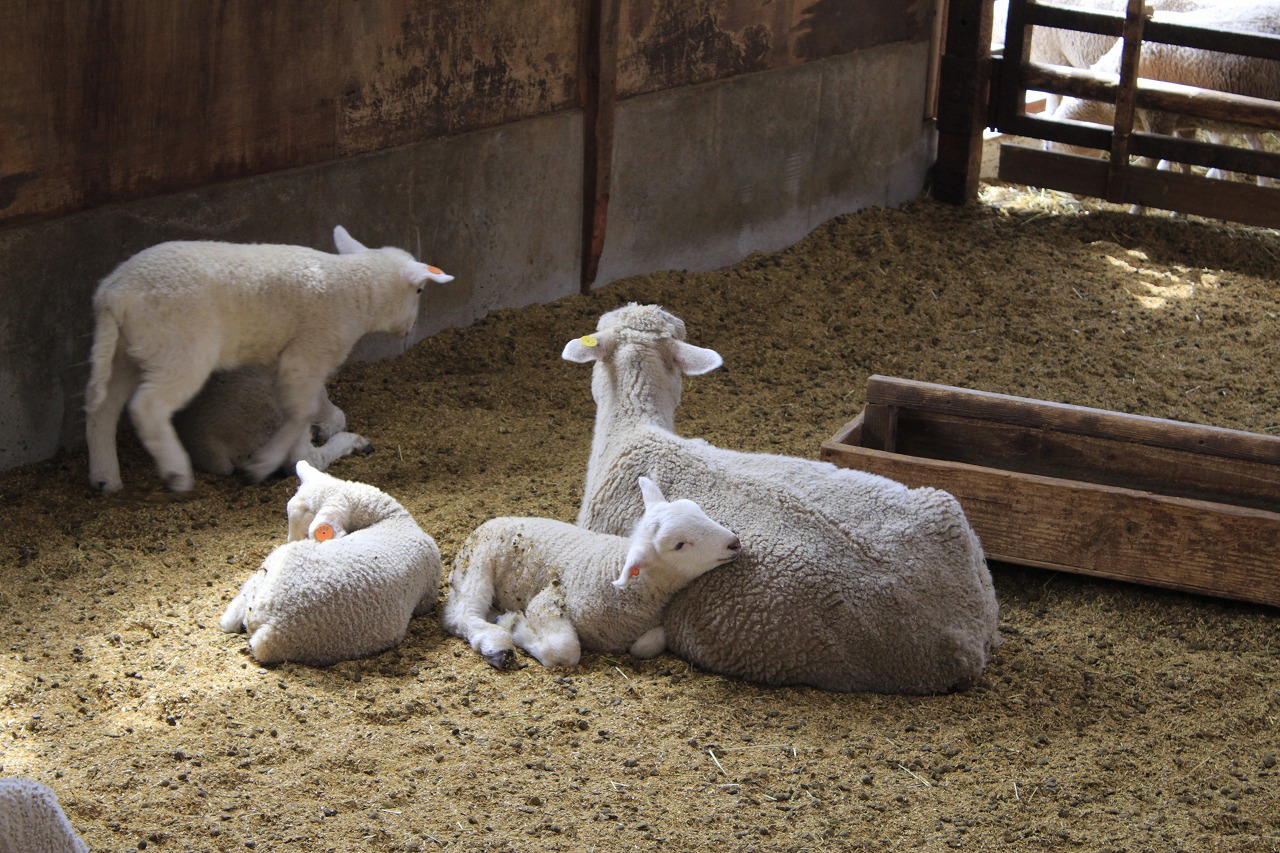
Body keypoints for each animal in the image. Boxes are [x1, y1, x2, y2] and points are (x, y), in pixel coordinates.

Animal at [85, 224, 455, 491]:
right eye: (419, 290)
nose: (409, 330)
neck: (350, 286)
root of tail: (112, 294)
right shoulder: (309, 350)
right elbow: (301, 414)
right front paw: (263, 463)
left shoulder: (288, 360)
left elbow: (318, 403)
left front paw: (327, 421)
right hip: (180, 348)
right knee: (147, 406)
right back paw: (176, 470)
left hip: (128, 350)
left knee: (103, 408)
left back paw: (105, 478)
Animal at [440, 473, 742, 666]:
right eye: (679, 545)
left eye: (698, 509)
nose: (734, 543)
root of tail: (493, 520)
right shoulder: (547, 601)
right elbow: (565, 650)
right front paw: (515, 626)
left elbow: (649, 644)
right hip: (477, 563)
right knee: (460, 615)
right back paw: (496, 642)